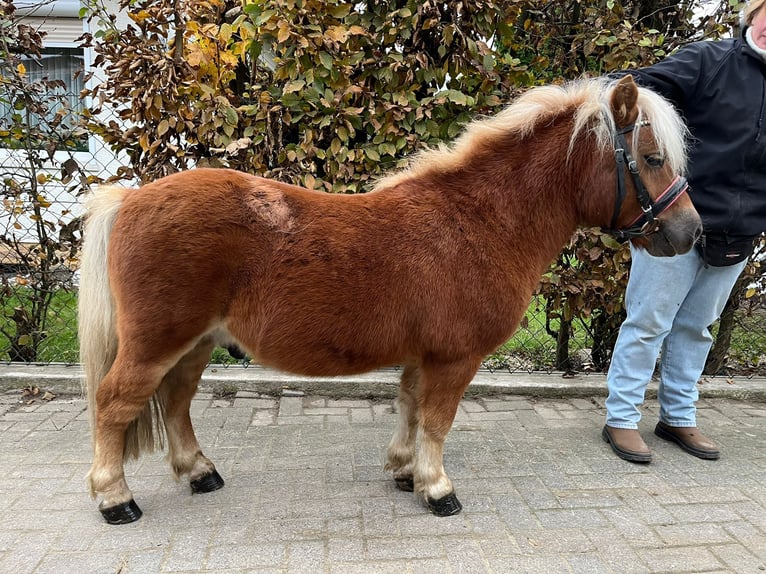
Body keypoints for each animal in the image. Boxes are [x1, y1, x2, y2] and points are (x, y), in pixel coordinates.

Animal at [81, 76, 704, 528]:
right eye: (652, 159)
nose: (692, 231)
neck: (481, 222)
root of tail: (130, 200)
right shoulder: (455, 359)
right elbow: (436, 421)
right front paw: (437, 488)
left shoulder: (423, 355)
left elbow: (409, 409)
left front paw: (405, 472)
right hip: (157, 343)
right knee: (114, 404)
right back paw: (116, 499)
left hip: (194, 343)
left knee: (175, 401)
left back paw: (199, 471)